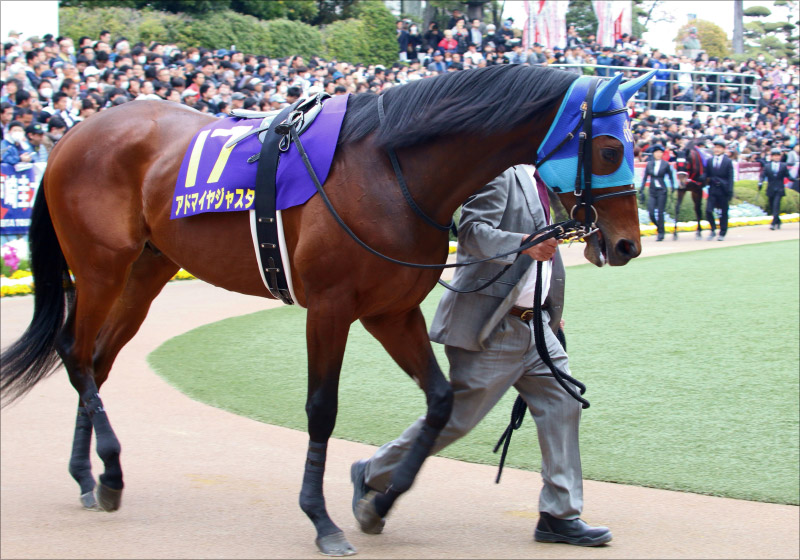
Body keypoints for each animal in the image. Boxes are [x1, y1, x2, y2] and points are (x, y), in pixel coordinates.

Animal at [0, 65, 653, 556]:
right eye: (610, 147)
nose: (627, 244)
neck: (390, 169)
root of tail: (71, 137)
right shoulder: (331, 308)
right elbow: (322, 410)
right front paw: (322, 520)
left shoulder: (392, 312)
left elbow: (441, 400)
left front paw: (377, 500)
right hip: (101, 269)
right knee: (75, 354)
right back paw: (109, 470)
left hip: (145, 271)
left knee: (96, 361)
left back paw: (88, 477)